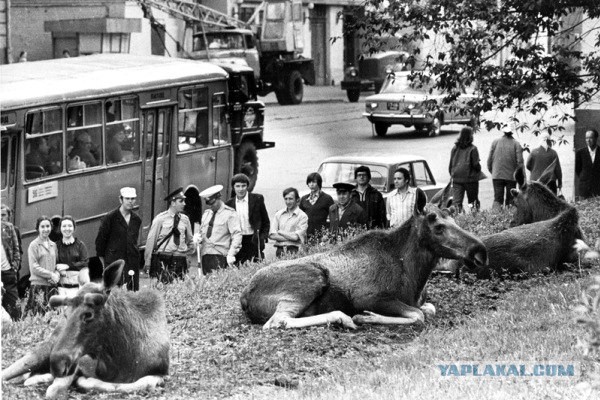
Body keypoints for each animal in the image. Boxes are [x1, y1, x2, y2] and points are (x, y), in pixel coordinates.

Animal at [2, 260, 171, 398]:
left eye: (88, 314)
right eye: (66, 313)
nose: (57, 363)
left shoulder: (160, 373)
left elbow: (138, 384)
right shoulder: (77, 364)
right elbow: (58, 389)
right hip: (43, 351)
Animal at [240, 198, 488, 332]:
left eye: (454, 219)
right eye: (438, 227)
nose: (480, 251)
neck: (414, 274)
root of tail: (244, 297)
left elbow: (428, 309)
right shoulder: (369, 297)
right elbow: (418, 315)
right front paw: (365, 316)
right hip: (311, 278)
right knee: (277, 321)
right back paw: (343, 318)